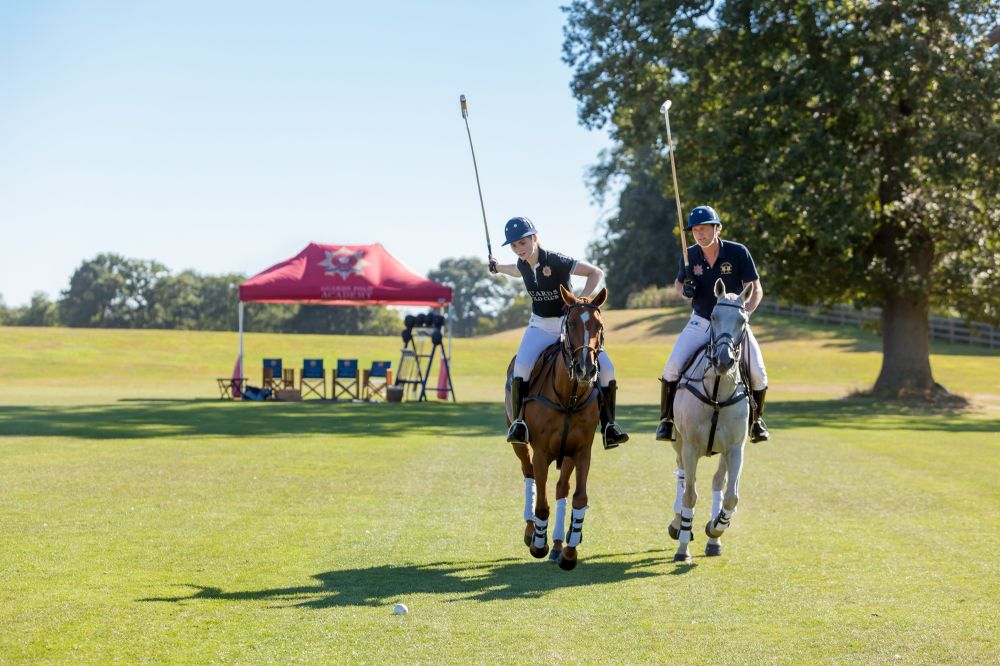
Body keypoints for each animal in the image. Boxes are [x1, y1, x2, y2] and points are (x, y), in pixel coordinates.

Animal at [504, 282, 604, 568]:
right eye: (570, 323)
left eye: (599, 325)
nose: (586, 369)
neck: (569, 396)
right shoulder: (541, 452)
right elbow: (541, 503)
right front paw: (538, 543)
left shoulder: (581, 451)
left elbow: (579, 498)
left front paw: (570, 550)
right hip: (518, 441)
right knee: (527, 473)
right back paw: (531, 532)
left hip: (566, 454)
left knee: (561, 488)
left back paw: (559, 544)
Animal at [668, 274, 752, 560]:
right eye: (713, 316)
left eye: (742, 320)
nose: (723, 361)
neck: (717, 392)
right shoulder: (691, 447)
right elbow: (690, 495)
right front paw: (683, 547)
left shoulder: (736, 447)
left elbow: (732, 496)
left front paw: (715, 528)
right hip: (678, 441)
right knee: (682, 476)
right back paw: (677, 524)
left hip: (723, 451)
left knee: (718, 482)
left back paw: (713, 540)